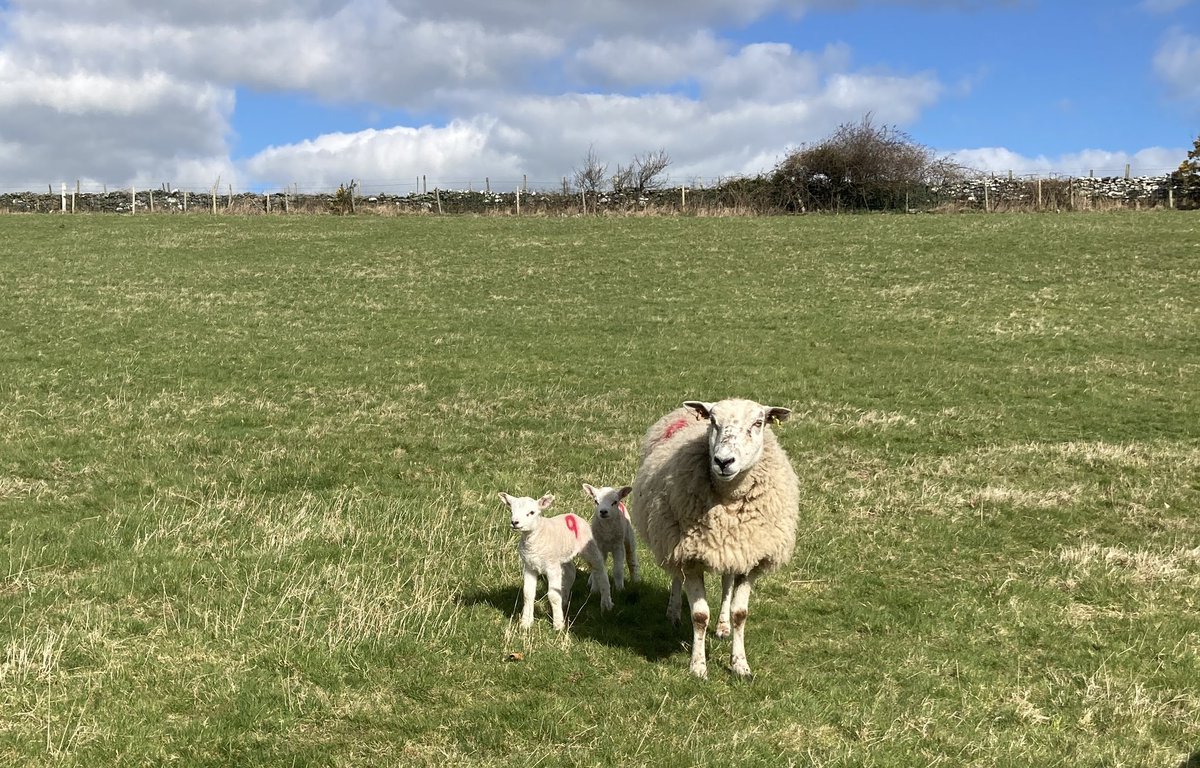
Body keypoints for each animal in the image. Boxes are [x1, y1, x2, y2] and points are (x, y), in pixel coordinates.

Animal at [499, 492, 614, 630]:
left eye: (531, 512)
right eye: (511, 510)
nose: (515, 522)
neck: (536, 537)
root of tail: (573, 515)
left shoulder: (552, 567)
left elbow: (553, 596)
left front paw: (558, 625)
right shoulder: (529, 566)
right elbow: (527, 594)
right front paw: (526, 623)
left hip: (589, 547)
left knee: (600, 569)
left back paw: (606, 603)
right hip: (563, 556)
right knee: (570, 572)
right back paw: (564, 600)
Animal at [629, 398, 799, 678]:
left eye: (758, 422)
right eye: (713, 421)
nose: (723, 461)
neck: (729, 499)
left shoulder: (749, 558)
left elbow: (740, 613)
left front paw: (740, 664)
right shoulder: (688, 555)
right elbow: (699, 616)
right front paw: (698, 667)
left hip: (730, 550)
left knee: (726, 583)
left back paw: (722, 626)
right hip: (670, 539)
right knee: (676, 577)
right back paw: (674, 613)